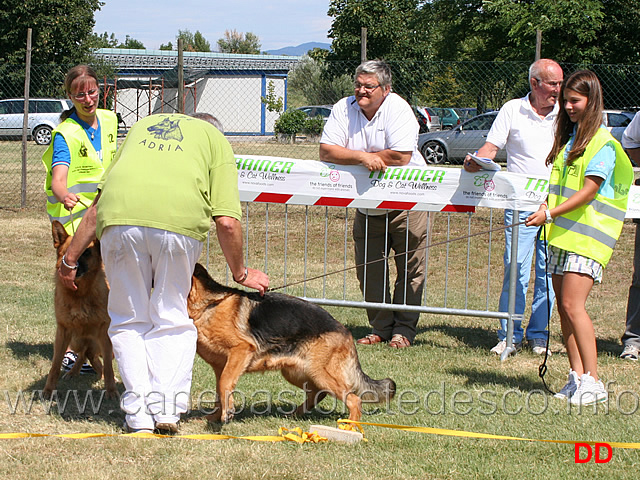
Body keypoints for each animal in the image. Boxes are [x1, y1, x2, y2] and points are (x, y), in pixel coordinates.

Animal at [43, 220, 117, 398]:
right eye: (68, 254)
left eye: (87, 252)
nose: (73, 268)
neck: (80, 294)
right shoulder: (63, 332)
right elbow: (55, 365)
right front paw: (48, 390)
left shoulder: (104, 333)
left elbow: (109, 368)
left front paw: (111, 390)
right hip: (76, 340)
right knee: (85, 354)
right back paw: (73, 372)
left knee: (92, 356)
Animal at [188, 262, 396, 424]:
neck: (208, 306)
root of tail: (344, 330)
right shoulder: (221, 366)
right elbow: (220, 389)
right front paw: (214, 417)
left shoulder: (241, 350)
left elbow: (225, 383)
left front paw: (226, 413)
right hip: (296, 372)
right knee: (318, 392)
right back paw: (296, 414)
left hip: (318, 372)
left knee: (353, 399)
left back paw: (350, 426)